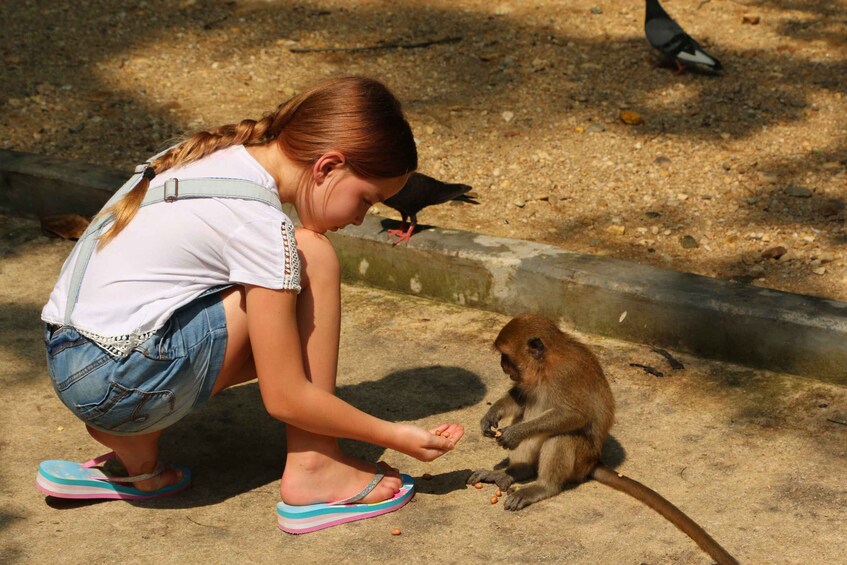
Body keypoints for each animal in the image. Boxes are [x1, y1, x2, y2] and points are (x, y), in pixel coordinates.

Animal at [468, 312, 740, 564]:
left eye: (507, 357)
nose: (502, 366)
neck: (545, 365)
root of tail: (593, 462)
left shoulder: (565, 374)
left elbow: (575, 415)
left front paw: (515, 434)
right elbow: (520, 397)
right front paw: (491, 416)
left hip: (581, 458)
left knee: (562, 435)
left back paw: (542, 486)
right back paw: (515, 472)